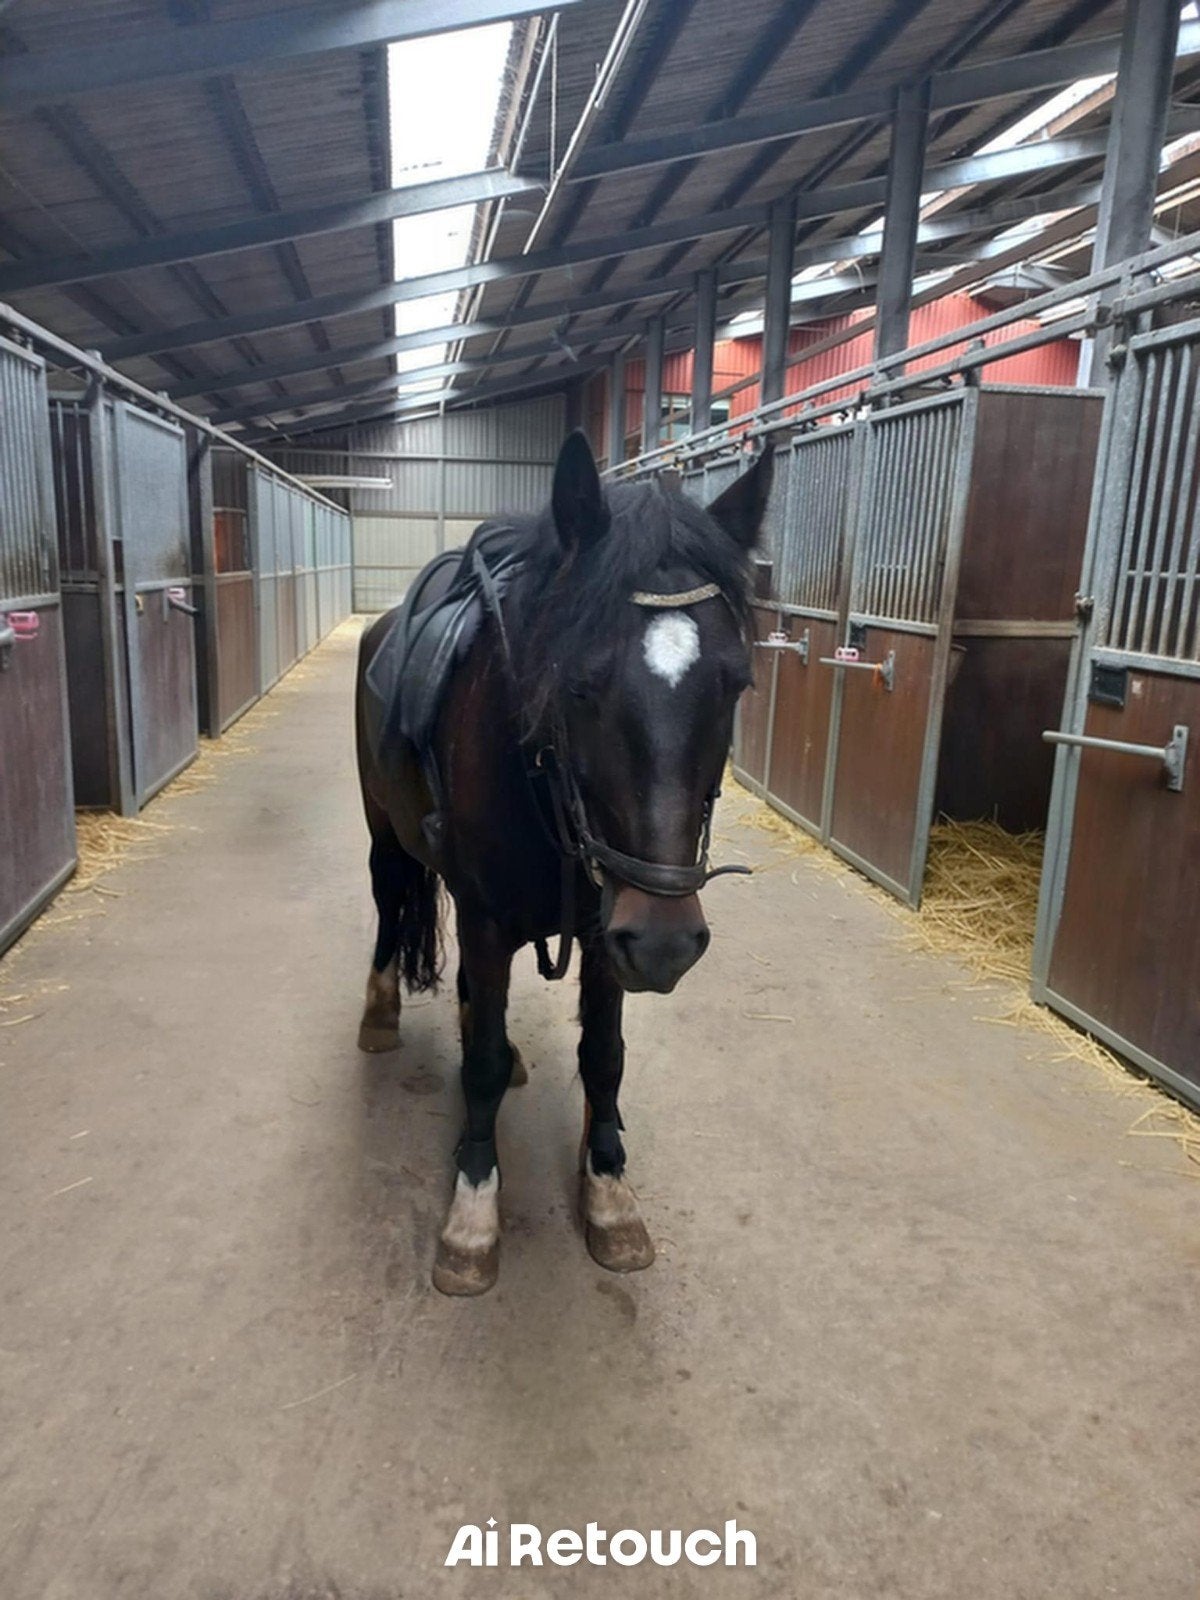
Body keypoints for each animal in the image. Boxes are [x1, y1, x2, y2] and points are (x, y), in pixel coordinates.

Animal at [354, 430, 772, 1296]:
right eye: (579, 683)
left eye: (737, 683)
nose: (669, 942)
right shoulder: (493, 919)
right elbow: (479, 1066)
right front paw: (473, 1214)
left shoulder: (610, 928)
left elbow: (603, 1059)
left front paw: (609, 1195)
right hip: (385, 838)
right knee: (387, 902)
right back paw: (378, 1015)